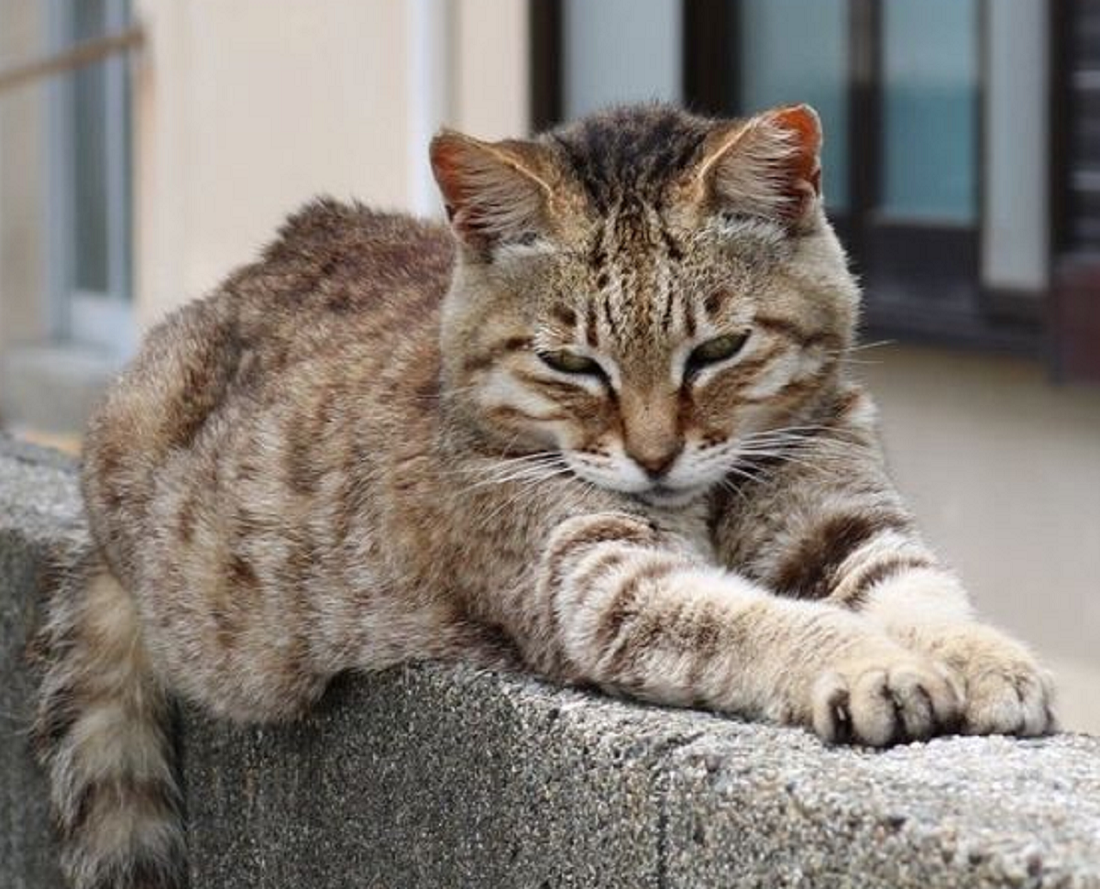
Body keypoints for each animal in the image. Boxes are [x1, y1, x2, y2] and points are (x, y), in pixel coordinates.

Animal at [34, 106, 1051, 889]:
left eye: (718, 350)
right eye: (571, 364)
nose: (654, 454)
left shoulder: (839, 517)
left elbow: (914, 586)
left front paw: (986, 658)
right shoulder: (598, 579)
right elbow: (756, 621)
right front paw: (874, 665)